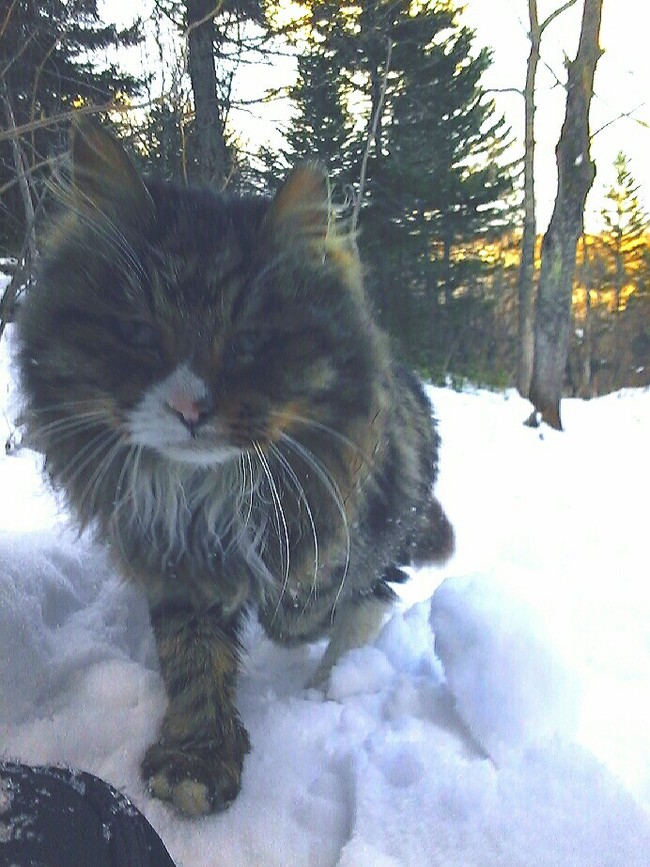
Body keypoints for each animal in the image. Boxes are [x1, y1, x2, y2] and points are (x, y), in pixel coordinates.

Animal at [13, 118, 450, 816]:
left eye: (248, 344)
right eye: (140, 334)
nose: (190, 406)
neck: (205, 492)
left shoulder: (347, 507)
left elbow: (313, 591)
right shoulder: (173, 559)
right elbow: (192, 657)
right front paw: (196, 756)